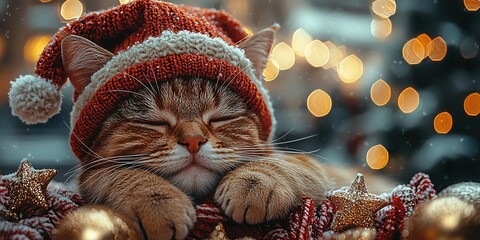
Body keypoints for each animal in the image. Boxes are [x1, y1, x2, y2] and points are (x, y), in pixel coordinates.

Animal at [62, 26, 394, 240]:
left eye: (222, 117)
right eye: (154, 122)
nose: (193, 140)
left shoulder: (313, 168)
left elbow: (279, 163)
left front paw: (255, 181)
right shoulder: (91, 176)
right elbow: (118, 174)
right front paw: (155, 199)